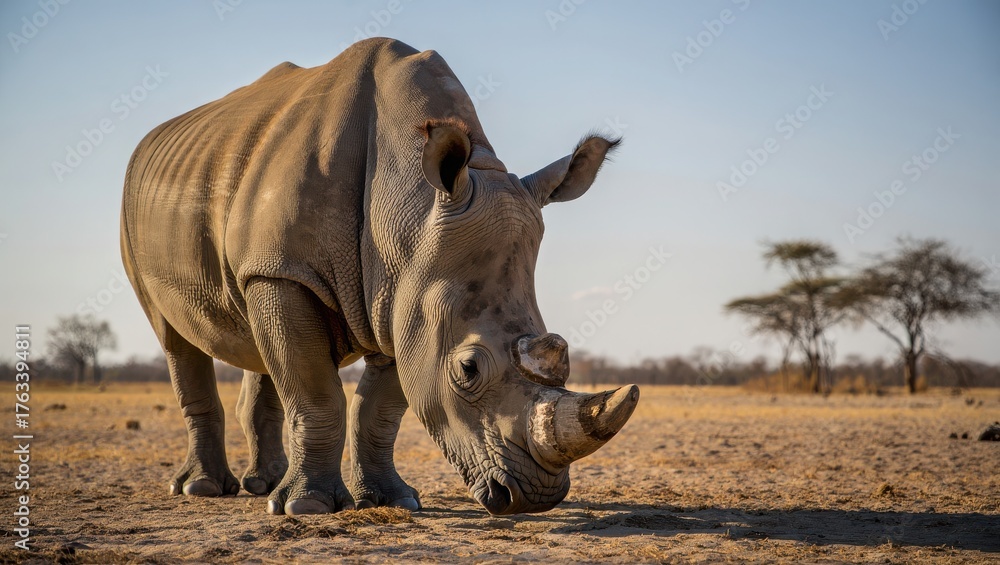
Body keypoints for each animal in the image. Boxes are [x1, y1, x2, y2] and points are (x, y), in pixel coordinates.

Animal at [120, 37, 638, 516]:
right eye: (467, 370)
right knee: (175, 338)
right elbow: (316, 394)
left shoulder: (404, 295)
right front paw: (308, 508)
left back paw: (264, 485)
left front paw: (394, 501)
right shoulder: (292, 272)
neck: (408, 205)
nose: (535, 497)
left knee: (257, 337)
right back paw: (202, 489)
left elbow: (379, 409)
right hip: (146, 218)